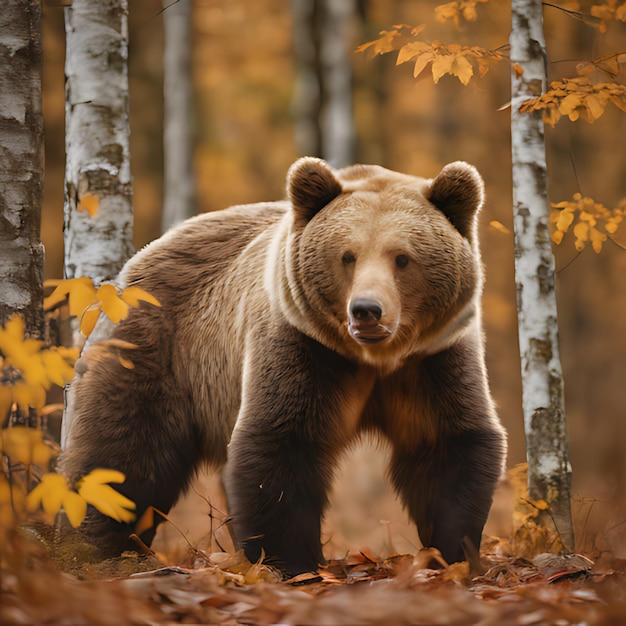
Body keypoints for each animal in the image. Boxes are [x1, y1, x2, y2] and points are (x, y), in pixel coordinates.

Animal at [58, 157, 504, 576]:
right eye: (348, 255)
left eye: (402, 258)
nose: (366, 310)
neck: (373, 359)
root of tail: (140, 259)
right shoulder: (300, 344)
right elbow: (281, 442)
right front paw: (292, 562)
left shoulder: (432, 359)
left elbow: (446, 443)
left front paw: (453, 552)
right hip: (159, 346)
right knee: (124, 454)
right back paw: (97, 547)